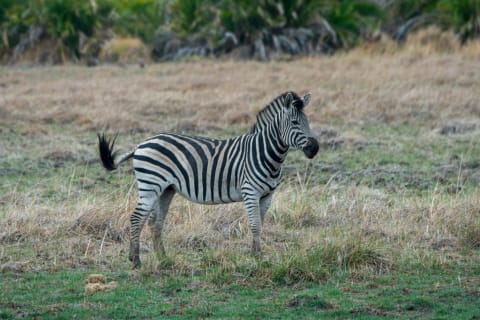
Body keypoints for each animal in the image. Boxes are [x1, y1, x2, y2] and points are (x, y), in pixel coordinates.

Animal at [98, 91, 318, 268]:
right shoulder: (250, 192)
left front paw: (258, 255)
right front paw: (256, 258)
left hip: (166, 189)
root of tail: (140, 144)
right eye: (295, 122)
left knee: (155, 222)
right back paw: (135, 260)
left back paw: (163, 258)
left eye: (308, 121)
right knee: (137, 218)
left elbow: (260, 226)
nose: (314, 148)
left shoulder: (267, 196)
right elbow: (255, 225)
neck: (265, 153)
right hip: (150, 185)